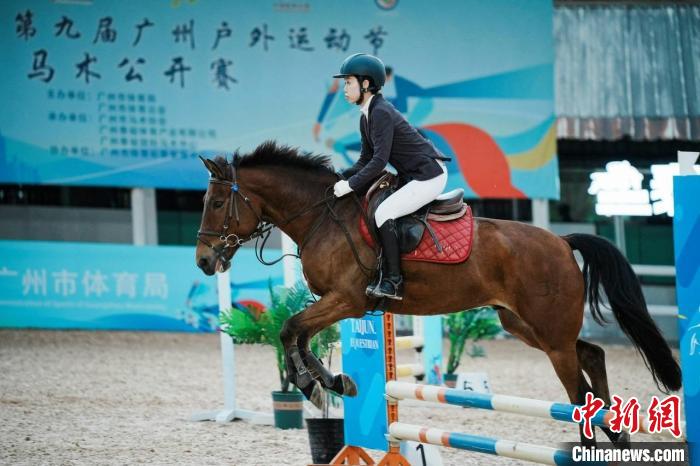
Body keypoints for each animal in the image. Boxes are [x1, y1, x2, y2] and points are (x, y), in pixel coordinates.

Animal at [195, 141, 681, 447]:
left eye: (216, 204)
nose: (203, 260)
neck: (322, 216)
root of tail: (562, 242)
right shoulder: (339, 304)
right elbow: (298, 335)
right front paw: (332, 383)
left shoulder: (348, 300)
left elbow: (290, 328)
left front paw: (313, 387)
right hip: (527, 326)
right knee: (592, 355)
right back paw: (617, 434)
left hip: (551, 334)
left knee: (577, 391)